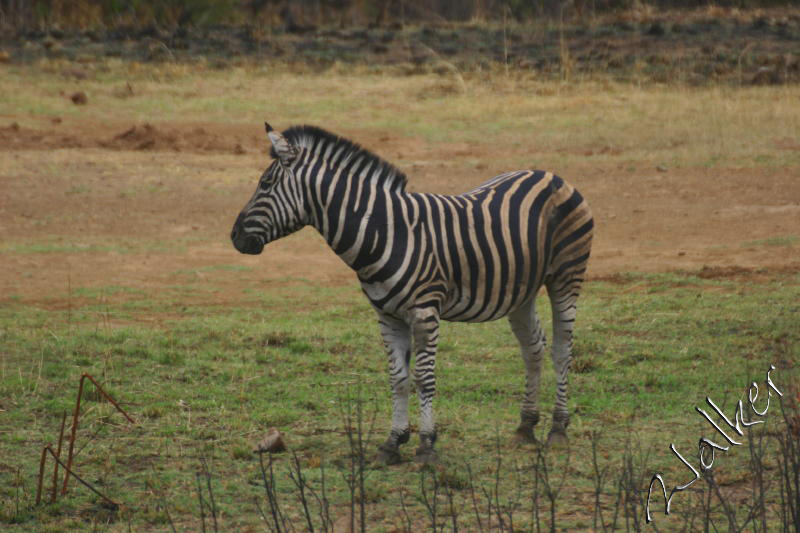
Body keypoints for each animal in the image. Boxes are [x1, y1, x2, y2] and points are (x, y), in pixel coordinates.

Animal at [231, 122, 592, 464]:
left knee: (562, 350)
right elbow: (398, 378)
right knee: (533, 348)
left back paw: (558, 430)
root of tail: (550, 175)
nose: (234, 237)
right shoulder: (387, 316)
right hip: (520, 291)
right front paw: (392, 443)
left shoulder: (424, 311)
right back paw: (525, 427)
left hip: (566, 278)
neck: (384, 231)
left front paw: (427, 446)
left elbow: (424, 378)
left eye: (265, 184)